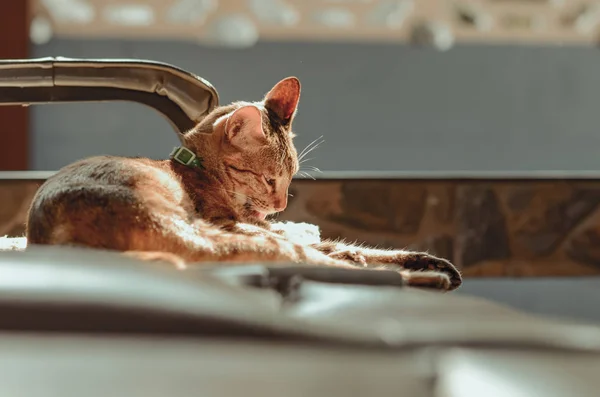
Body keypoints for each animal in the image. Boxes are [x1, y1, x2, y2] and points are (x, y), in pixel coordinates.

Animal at [25, 76, 462, 290]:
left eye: (290, 177)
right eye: (270, 179)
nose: (281, 205)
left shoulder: (275, 228)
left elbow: (349, 246)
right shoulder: (255, 229)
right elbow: (333, 250)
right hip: (223, 241)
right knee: (332, 267)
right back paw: (430, 279)